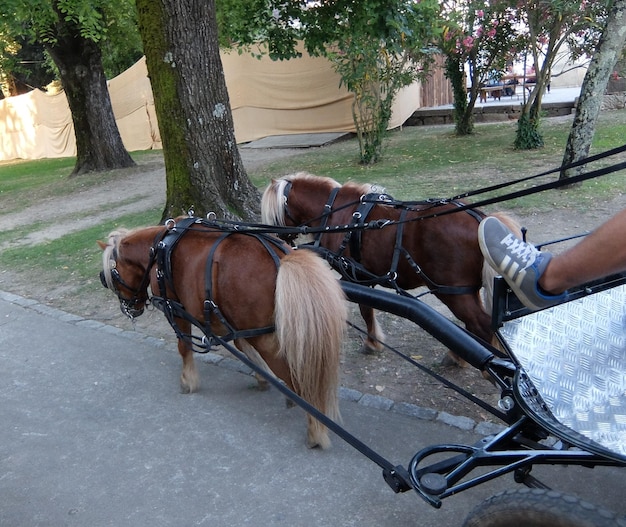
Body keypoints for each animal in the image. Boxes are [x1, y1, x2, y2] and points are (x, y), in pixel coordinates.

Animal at [101, 220, 346, 450]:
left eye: (110, 276)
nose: (129, 309)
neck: (159, 249)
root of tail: (282, 258)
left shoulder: (176, 310)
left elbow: (183, 346)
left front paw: (188, 380)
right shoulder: (235, 324)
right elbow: (242, 347)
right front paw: (261, 376)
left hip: (265, 340)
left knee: (301, 379)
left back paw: (315, 429)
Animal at [260, 173, 516, 364]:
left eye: (274, 214)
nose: (275, 239)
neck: (336, 213)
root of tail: (480, 219)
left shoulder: (354, 276)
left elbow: (365, 310)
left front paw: (371, 342)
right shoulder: (364, 277)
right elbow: (368, 309)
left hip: (451, 292)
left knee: (480, 325)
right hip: (465, 291)